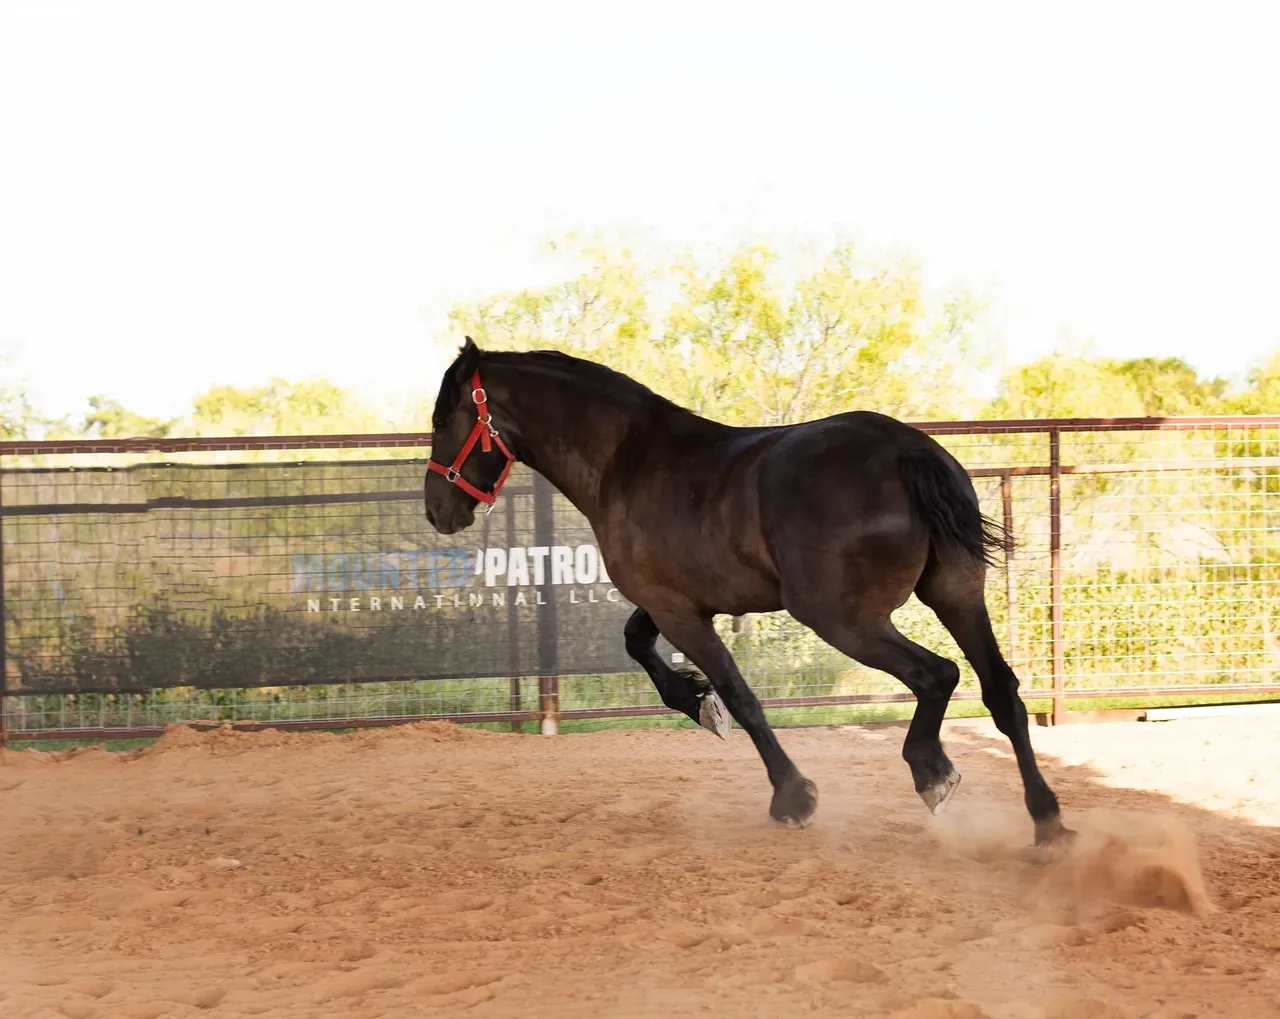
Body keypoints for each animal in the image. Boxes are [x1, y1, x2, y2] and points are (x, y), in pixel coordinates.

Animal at [423, 337, 1071, 847]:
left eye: (442, 420)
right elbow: (637, 642)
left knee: (936, 675)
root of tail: (908, 452)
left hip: (843, 619)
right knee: (1002, 694)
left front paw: (791, 794)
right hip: (956, 595)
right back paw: (1048, 823)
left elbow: (740, 694)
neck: (625, 462)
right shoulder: (675, 601)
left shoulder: (679, 611)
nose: (436, 511)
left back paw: (932, 772)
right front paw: (695, 700)